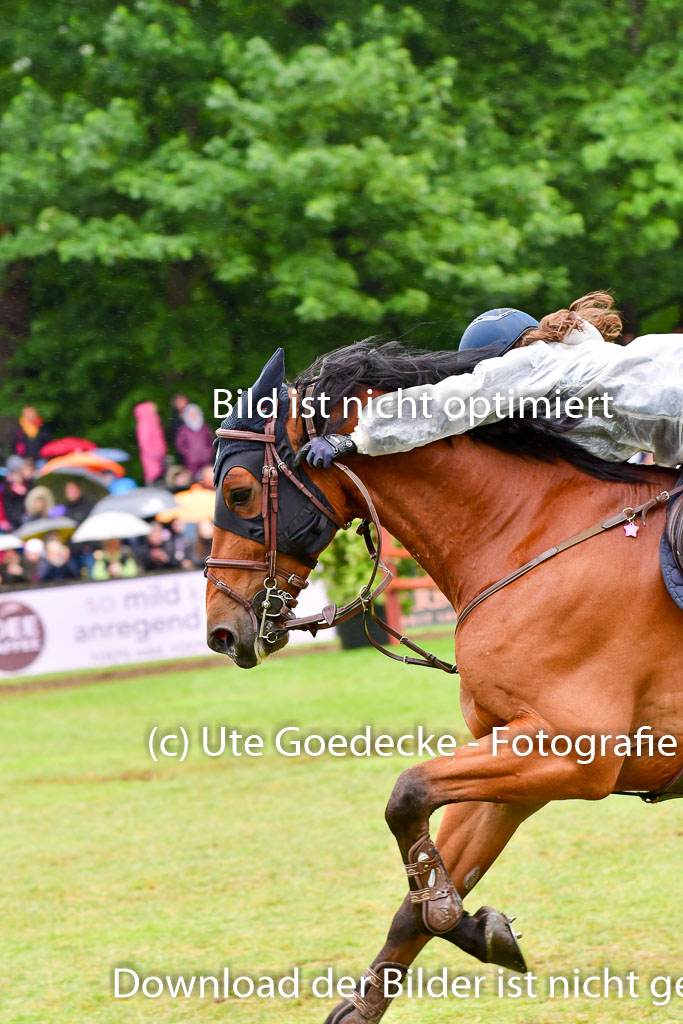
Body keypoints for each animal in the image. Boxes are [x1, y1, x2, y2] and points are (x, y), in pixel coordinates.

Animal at [204, 346, 683, 1024]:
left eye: (239, 492)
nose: (220, 631)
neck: (531, 535)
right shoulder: (519, 754)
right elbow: (423, 885)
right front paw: (462, 928)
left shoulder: (572, 752)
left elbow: (406, 794)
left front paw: (456, 915)